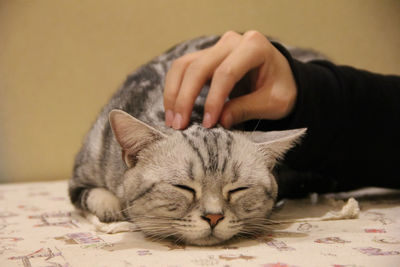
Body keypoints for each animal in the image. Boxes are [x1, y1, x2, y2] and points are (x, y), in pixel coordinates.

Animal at [69, 34, 324, 246]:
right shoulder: (81, 173)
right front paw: (113, 207)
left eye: (238, 189)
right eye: (183, 187)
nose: (214, 217)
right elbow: (98, 197)